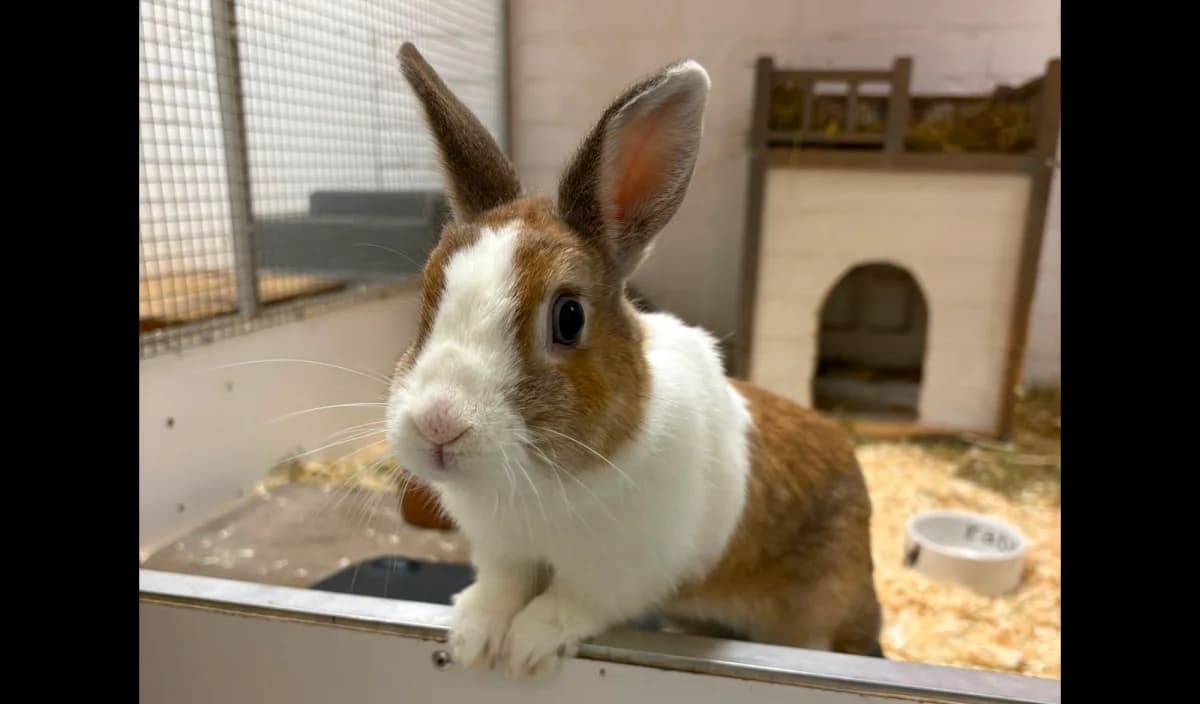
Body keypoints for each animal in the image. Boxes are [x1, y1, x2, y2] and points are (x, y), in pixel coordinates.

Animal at [386, 43, 883, 679]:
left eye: (568, 317)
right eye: (427, 297)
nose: (438, 424)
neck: (542, 486)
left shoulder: (622, 572)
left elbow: (571, 602)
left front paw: (527, 650)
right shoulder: (503, 551)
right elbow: (500, 587)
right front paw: (473, 638)